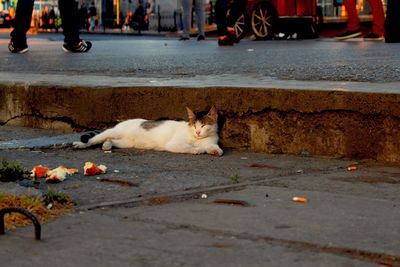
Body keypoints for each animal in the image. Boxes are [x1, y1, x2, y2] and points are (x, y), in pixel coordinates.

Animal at [72, 106, 222, 157]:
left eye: (204, 125)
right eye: (193, 126)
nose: (197, 132)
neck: (198, 139)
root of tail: (120, 123)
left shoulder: (211, 141)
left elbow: (213, 147)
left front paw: (215, 151)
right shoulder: (174, 144)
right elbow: (188, 147)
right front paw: (197, 150)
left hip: (126, 142)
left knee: (110, 141)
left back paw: (106, 145)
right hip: (113, 133)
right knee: (93, 139)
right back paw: (79, 144)